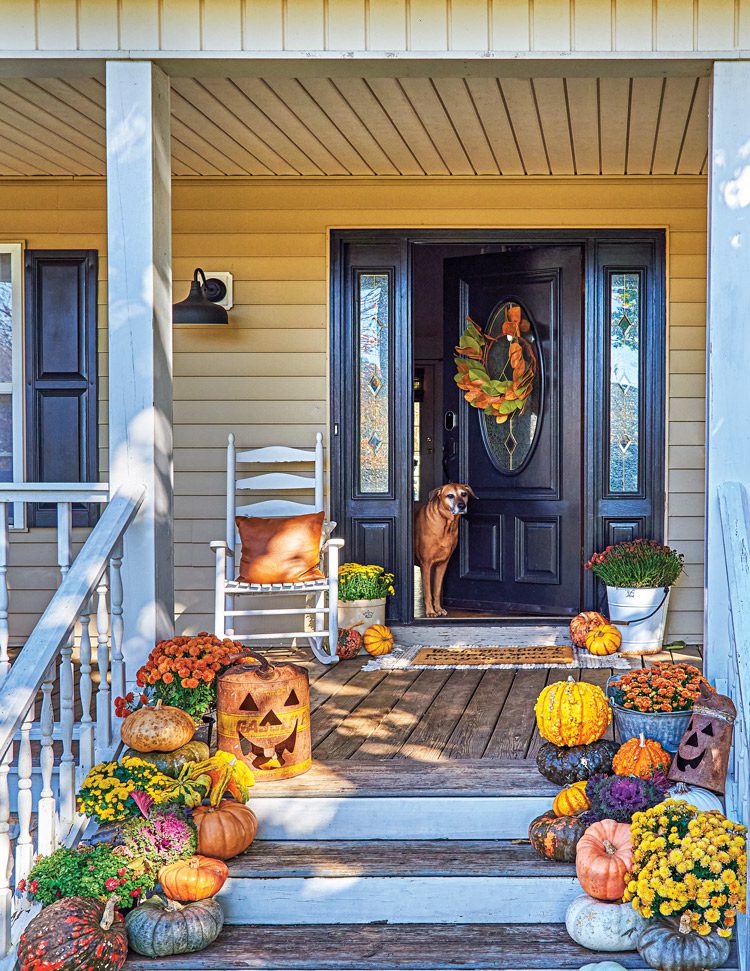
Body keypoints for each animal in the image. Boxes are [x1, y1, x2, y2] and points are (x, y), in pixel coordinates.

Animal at [418, 484, 476, 620]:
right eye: (450, 495)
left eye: (464, 494)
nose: (462, 506)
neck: (446, 523)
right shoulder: (425, 564)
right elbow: (428, 591)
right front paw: (430, 611)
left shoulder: (442, 564)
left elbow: (437, 589)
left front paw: (438, 608)